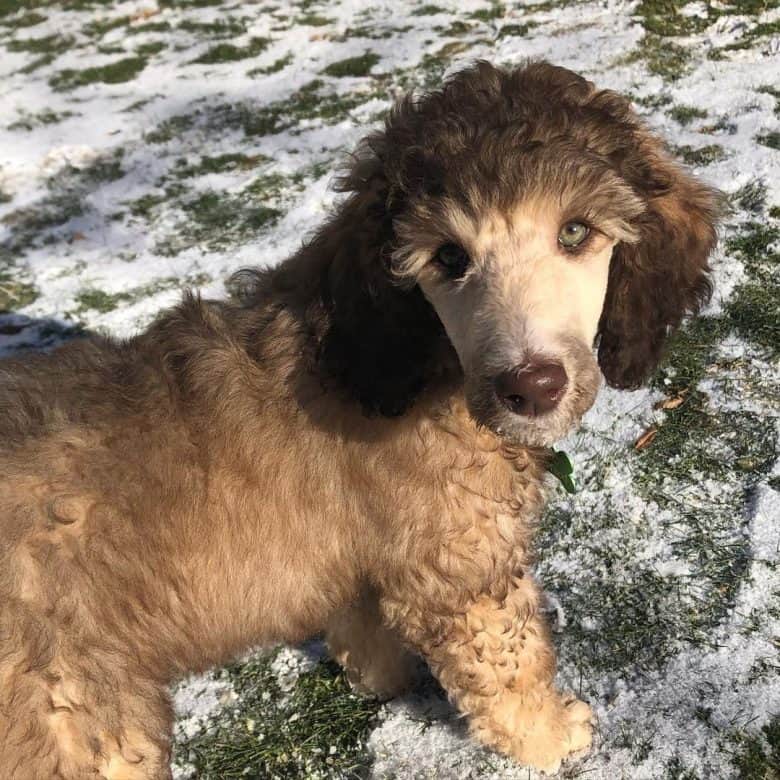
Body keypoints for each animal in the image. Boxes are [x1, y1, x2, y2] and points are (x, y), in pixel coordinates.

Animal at [0, 62, 720, 780]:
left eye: (575, 232)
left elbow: (361, 619)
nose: (531, 387)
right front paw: (546, 734)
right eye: (449, 258)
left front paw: (383, 678)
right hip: (78, 719)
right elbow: (507, 657)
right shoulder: (459, 564)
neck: (422, 358)